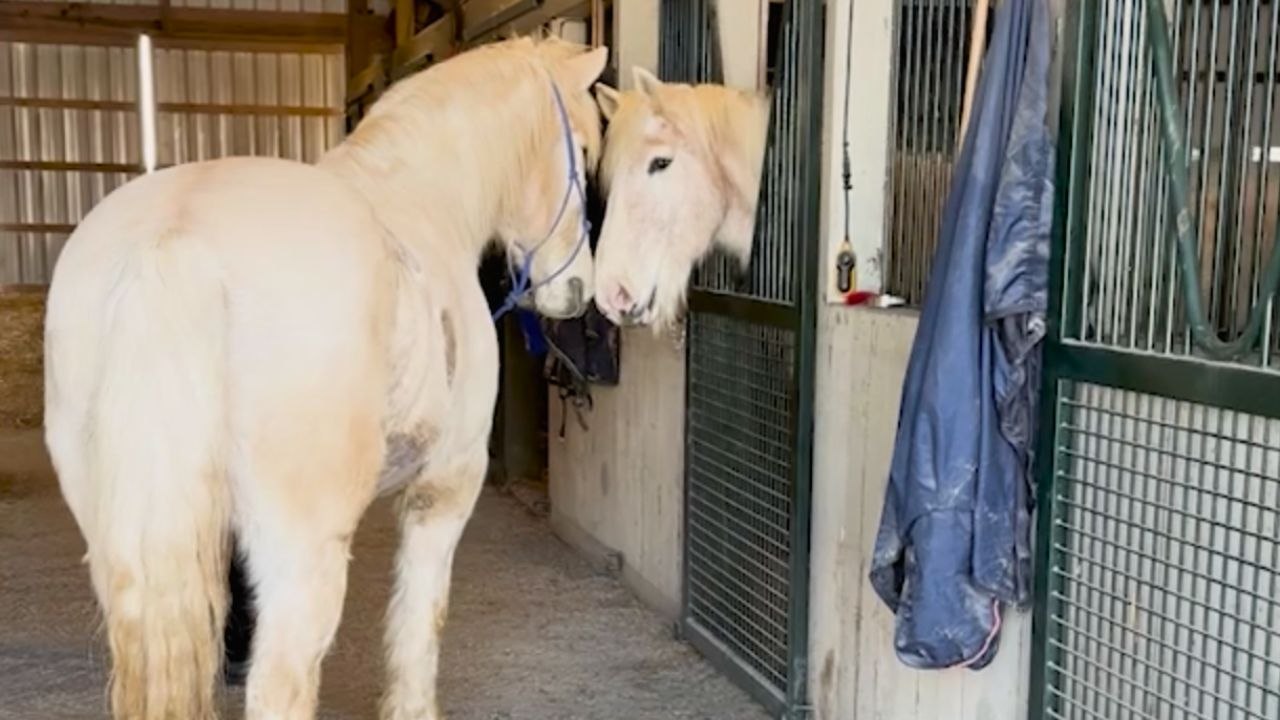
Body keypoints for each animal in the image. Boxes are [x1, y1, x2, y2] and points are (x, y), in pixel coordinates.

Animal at [42, 36, 608, 720]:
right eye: (584, 151)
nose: (578, 290)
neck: (422, 202)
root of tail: (175, 237)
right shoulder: (445, 489)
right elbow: (422, 624)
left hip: (118, 546)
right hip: (302, 550)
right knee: (280, 683)